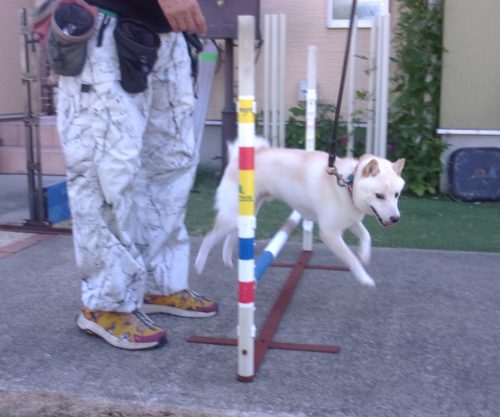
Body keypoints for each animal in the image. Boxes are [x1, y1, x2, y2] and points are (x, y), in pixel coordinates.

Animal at [195, 138, 405, 287]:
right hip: (231, 216)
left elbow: (366, 236)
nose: (395, 219)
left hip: (248, 213)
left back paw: (228, 260)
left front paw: (365, 254)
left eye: (396, 195)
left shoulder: (350, 221)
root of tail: (237, 158)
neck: (348, 184)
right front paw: (364, 278)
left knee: (230, 237)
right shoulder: (329, 233)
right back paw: (199, 265)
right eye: (379, 196)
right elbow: (351, 259)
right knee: (208, 238)